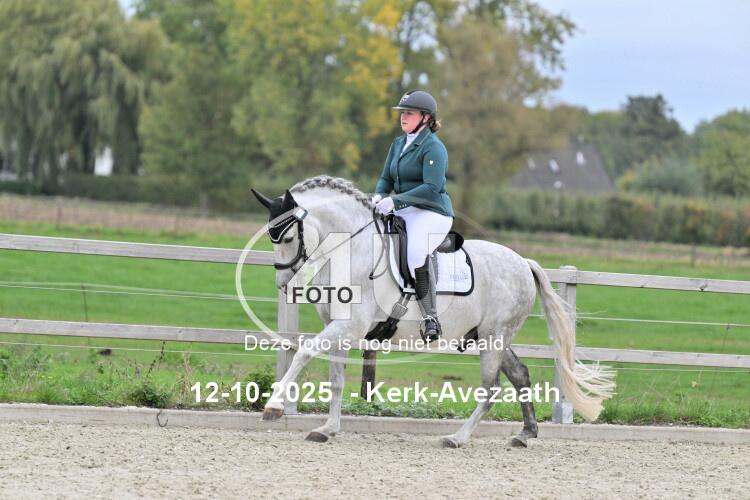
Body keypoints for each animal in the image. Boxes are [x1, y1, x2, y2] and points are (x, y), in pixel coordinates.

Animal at [250, 175, 615, 448]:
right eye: (271, 237)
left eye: (287, 237)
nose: (283, 283)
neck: (353, 248)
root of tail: (523, 263)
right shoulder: (340, 327)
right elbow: (336, 378)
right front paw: (327, 429)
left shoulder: (349, 327)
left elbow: (303, 353)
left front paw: (274, 407)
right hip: (491, 336)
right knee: (520, 374)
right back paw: (525, 434)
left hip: (494, 337)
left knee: (491, 388)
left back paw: (457, 437)